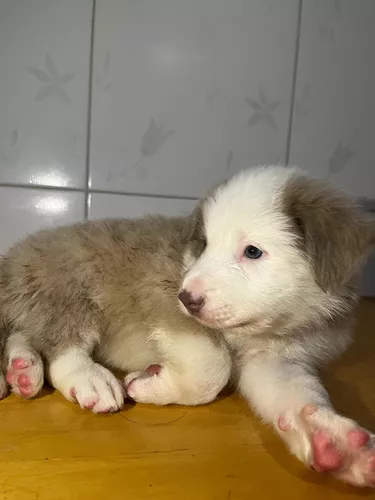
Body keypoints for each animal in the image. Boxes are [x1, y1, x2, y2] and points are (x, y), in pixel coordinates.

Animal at [0, 166, 375, 486]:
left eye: (253, 252)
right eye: (204, 244)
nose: (187, 297)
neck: (261, 331)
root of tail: (12, 259)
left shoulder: (273, 360)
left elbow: (298, 393)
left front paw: (332, 440)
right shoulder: (162, 295)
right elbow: (211, 369)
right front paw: (149, 384)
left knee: (23, 334)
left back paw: (22, 370)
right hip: (70, 285)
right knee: (62, 348)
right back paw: (87, 380)